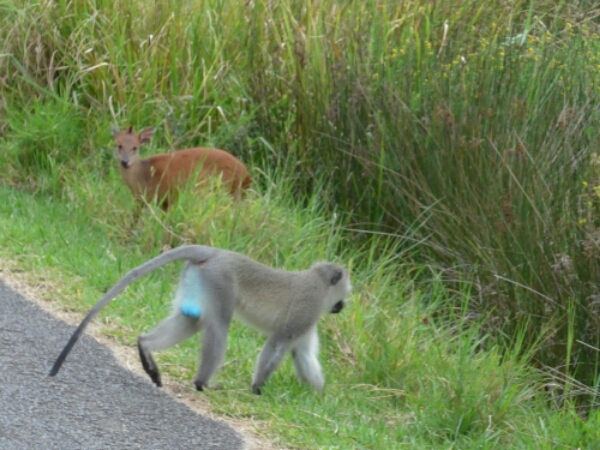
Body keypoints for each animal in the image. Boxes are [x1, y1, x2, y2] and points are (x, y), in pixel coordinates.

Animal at [49, 245, 351, 395]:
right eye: (346, 292)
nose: (342, 305)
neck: (318, 283)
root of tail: (216, 252)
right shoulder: (307, 308)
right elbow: (277, 344)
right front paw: (257, 389)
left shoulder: (308, 321)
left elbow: (303, 355)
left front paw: (320, 395)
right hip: (219, 281)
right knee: (218, 326)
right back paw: (202, 383)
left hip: (199, 278)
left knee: (190, 320)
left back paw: (145, 347)